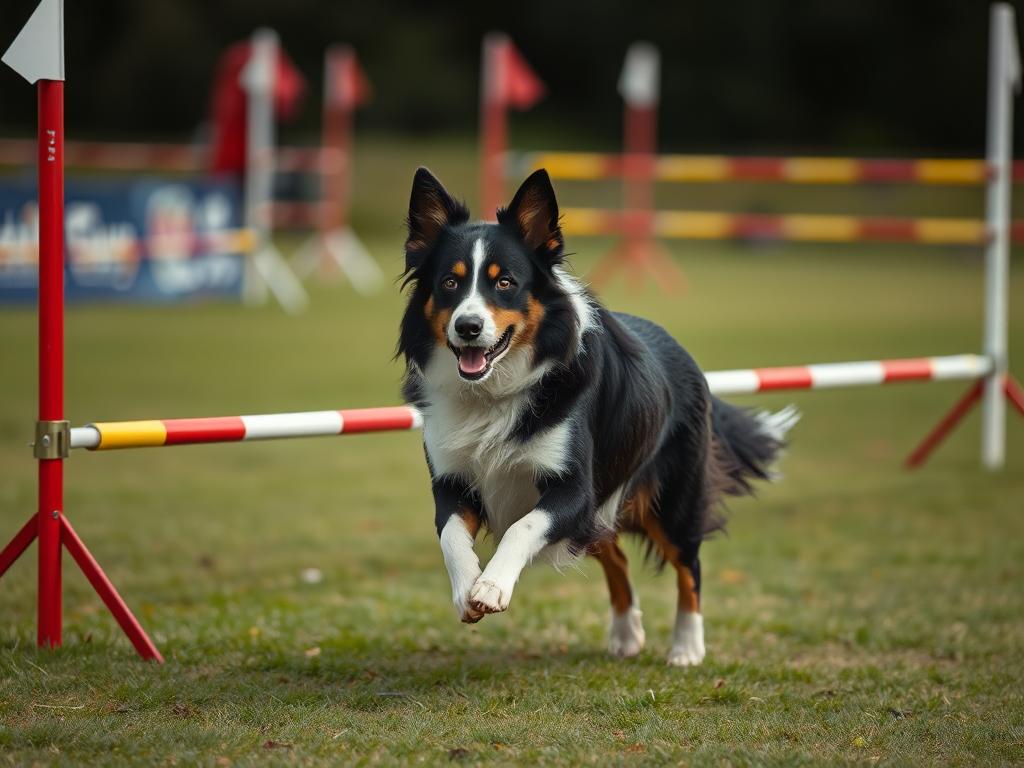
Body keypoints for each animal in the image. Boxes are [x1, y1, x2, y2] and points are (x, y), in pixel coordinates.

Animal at [395, 167, 794, 667]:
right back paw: (626, 635)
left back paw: (686, 647)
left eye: (505, 283)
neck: (494, 392)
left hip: (672, 500)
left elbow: (523, 526)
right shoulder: (452, 481)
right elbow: (450, 536)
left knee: (690, 566)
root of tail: (687, 357)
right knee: (616, 556)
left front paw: (491, 586)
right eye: (450, 282)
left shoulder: (574, 489)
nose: (467, 327)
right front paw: (467, 588)